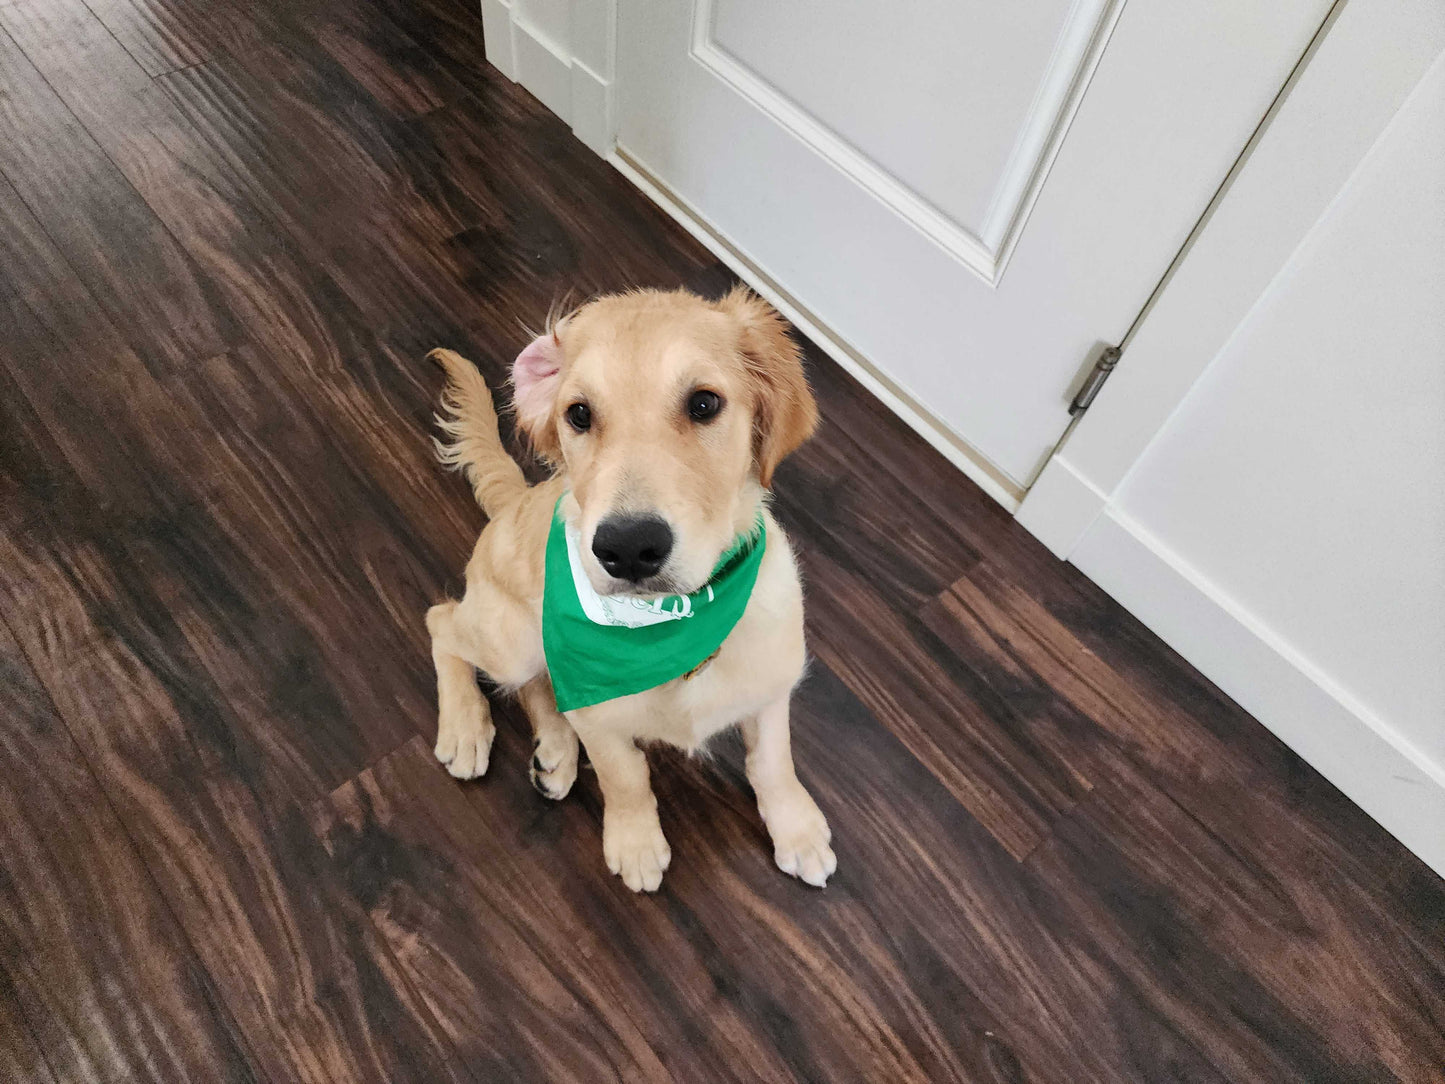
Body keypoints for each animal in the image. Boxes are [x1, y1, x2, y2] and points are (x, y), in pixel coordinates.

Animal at [424, 286, 838, 890]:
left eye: (705, 404)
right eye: (578, 414)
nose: (628, 547)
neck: (677, 622)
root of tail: (515, 501)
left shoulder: (770, 684)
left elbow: (772, 762)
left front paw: (797, 830)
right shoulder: (599, 716)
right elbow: (625, 776)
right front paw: (636, 842)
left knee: (536, 684)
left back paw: (554, 753)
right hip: (509, 638)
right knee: (443, 624)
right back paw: (465, 729)